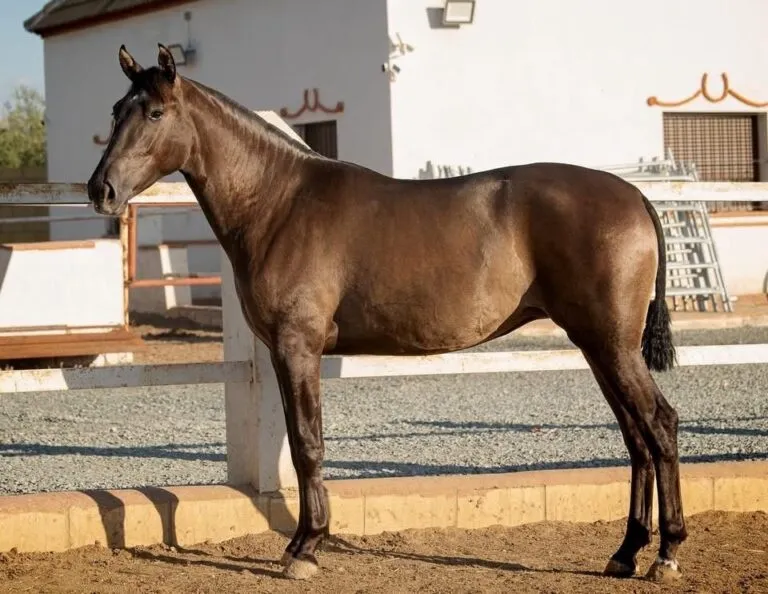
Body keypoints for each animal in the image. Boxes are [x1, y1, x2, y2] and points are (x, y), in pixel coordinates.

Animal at [87, 44, 687, 582]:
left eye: (155, 113)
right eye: (116, 111)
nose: (101, 189)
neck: (279, 203)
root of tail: (634, 196)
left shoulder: (297, 346)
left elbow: (307, 444)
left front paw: (305, 549)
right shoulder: (283, 352)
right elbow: (300, 443)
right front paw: (304, 541)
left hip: (610, 345)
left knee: (659, 424)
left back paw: (666, 553)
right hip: (597, 346)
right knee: (635, 437)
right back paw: (625, 553)